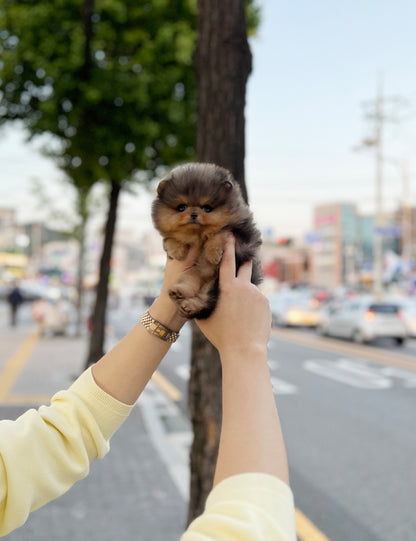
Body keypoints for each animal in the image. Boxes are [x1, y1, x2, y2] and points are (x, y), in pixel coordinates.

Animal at [152, 162, 264, 318]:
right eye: (181, 207)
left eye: (207, 208)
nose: (193, 214)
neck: (198, 235)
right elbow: (170, 238)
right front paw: (177, 250)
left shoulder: (241, 236)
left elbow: (220, 232)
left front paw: (212, 254)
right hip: (194, 274)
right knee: (190, 285)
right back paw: (178, 293)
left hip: (215, 284)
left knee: (206, 302)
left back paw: (190, 305)